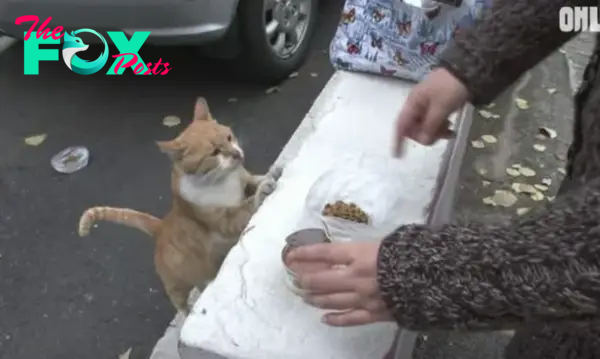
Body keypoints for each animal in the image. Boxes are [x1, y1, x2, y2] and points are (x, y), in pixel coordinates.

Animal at [78, 97, 282, 316]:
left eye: (229, 137)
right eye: (215, 152)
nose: (237, 154)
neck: (223, 181)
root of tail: (161, 226)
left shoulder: (245, 181)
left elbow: (254, 180)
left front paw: (271, 173)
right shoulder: (224, 220)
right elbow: (246, 205)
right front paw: (263, 190)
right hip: (177, 286)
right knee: (181, 303)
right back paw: (188, 312)